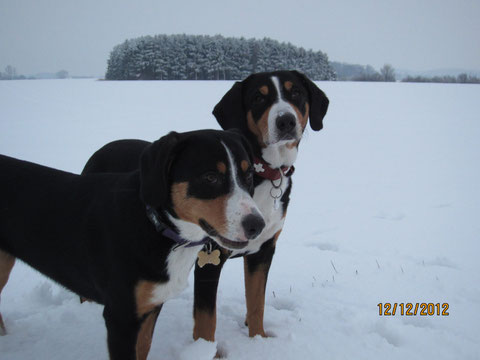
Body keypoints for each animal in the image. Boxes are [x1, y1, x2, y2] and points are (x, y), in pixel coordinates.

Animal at [0, 129, 264, 360]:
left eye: (249, 175)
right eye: (210, 177)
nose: (257, 225)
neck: (156, 226)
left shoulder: (149, 306)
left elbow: (143, 348)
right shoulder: (121, 316)